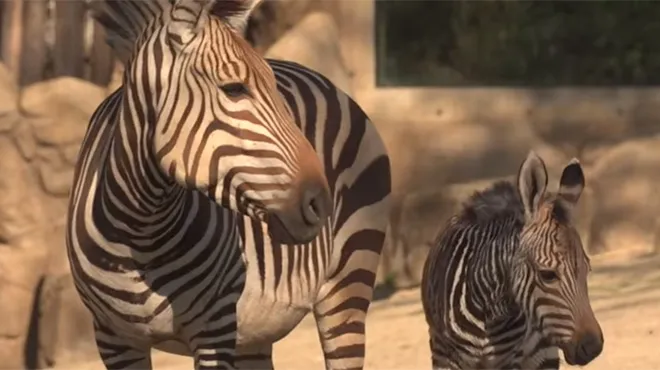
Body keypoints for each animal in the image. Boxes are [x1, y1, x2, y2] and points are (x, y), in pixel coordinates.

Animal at [65, 0, 392, 368]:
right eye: (234, 88)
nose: (321, 203)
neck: (141, 231)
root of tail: (327, 82)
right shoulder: (113, 338)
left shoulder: (215, 326)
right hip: (255, 331)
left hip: (348, 279)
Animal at [422, 151, 604, 370]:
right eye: (547, 275)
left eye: (587, 270)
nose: (593, 348)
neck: (488, 310)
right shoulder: (445, 356)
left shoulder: (510, 359)